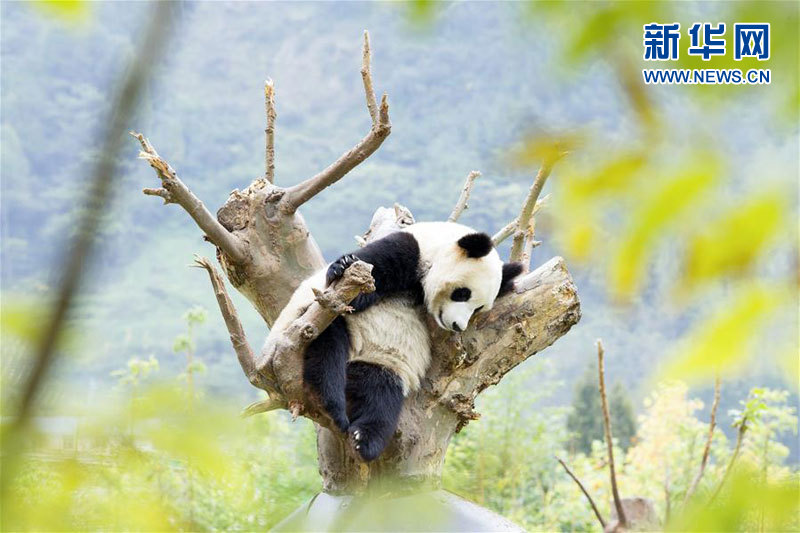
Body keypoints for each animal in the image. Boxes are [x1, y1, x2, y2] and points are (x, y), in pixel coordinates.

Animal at [264, 221, 524, 462]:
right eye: (463, 293)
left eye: (478, 308)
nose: (458, 325)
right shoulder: (408, 250)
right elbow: (360, 286)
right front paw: (342, 265)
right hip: (303, 327)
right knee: (328, 346)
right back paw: (331, 402)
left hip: (381, 364)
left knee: (381, 394)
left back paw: (364, 440)